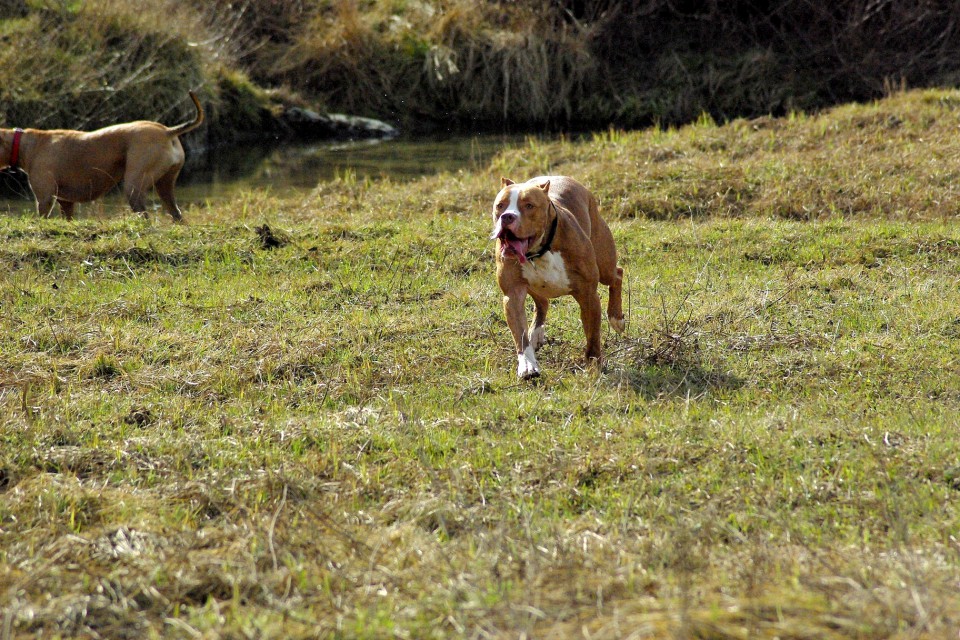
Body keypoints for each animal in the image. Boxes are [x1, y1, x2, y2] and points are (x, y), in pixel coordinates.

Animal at [0, 91, 204, 222]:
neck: (25, 143)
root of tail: (167, 131)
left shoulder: (44, 199)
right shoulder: (66, 203)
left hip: (134, 184)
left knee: (144, 215)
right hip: (165, 186)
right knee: (176, 214)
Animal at [492, 175, 628, 378]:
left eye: (529, 205)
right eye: (500, 205)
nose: (507, 216)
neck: (539, 251)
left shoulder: (588, 295)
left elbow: (593, 336)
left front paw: (593, 366)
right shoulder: (512, 294)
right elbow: (520, 335)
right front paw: (527, 365)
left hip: (605, 265)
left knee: (617, 274)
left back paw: (616, 318)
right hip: (534, 286)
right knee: (542, 302)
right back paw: (536, 333)